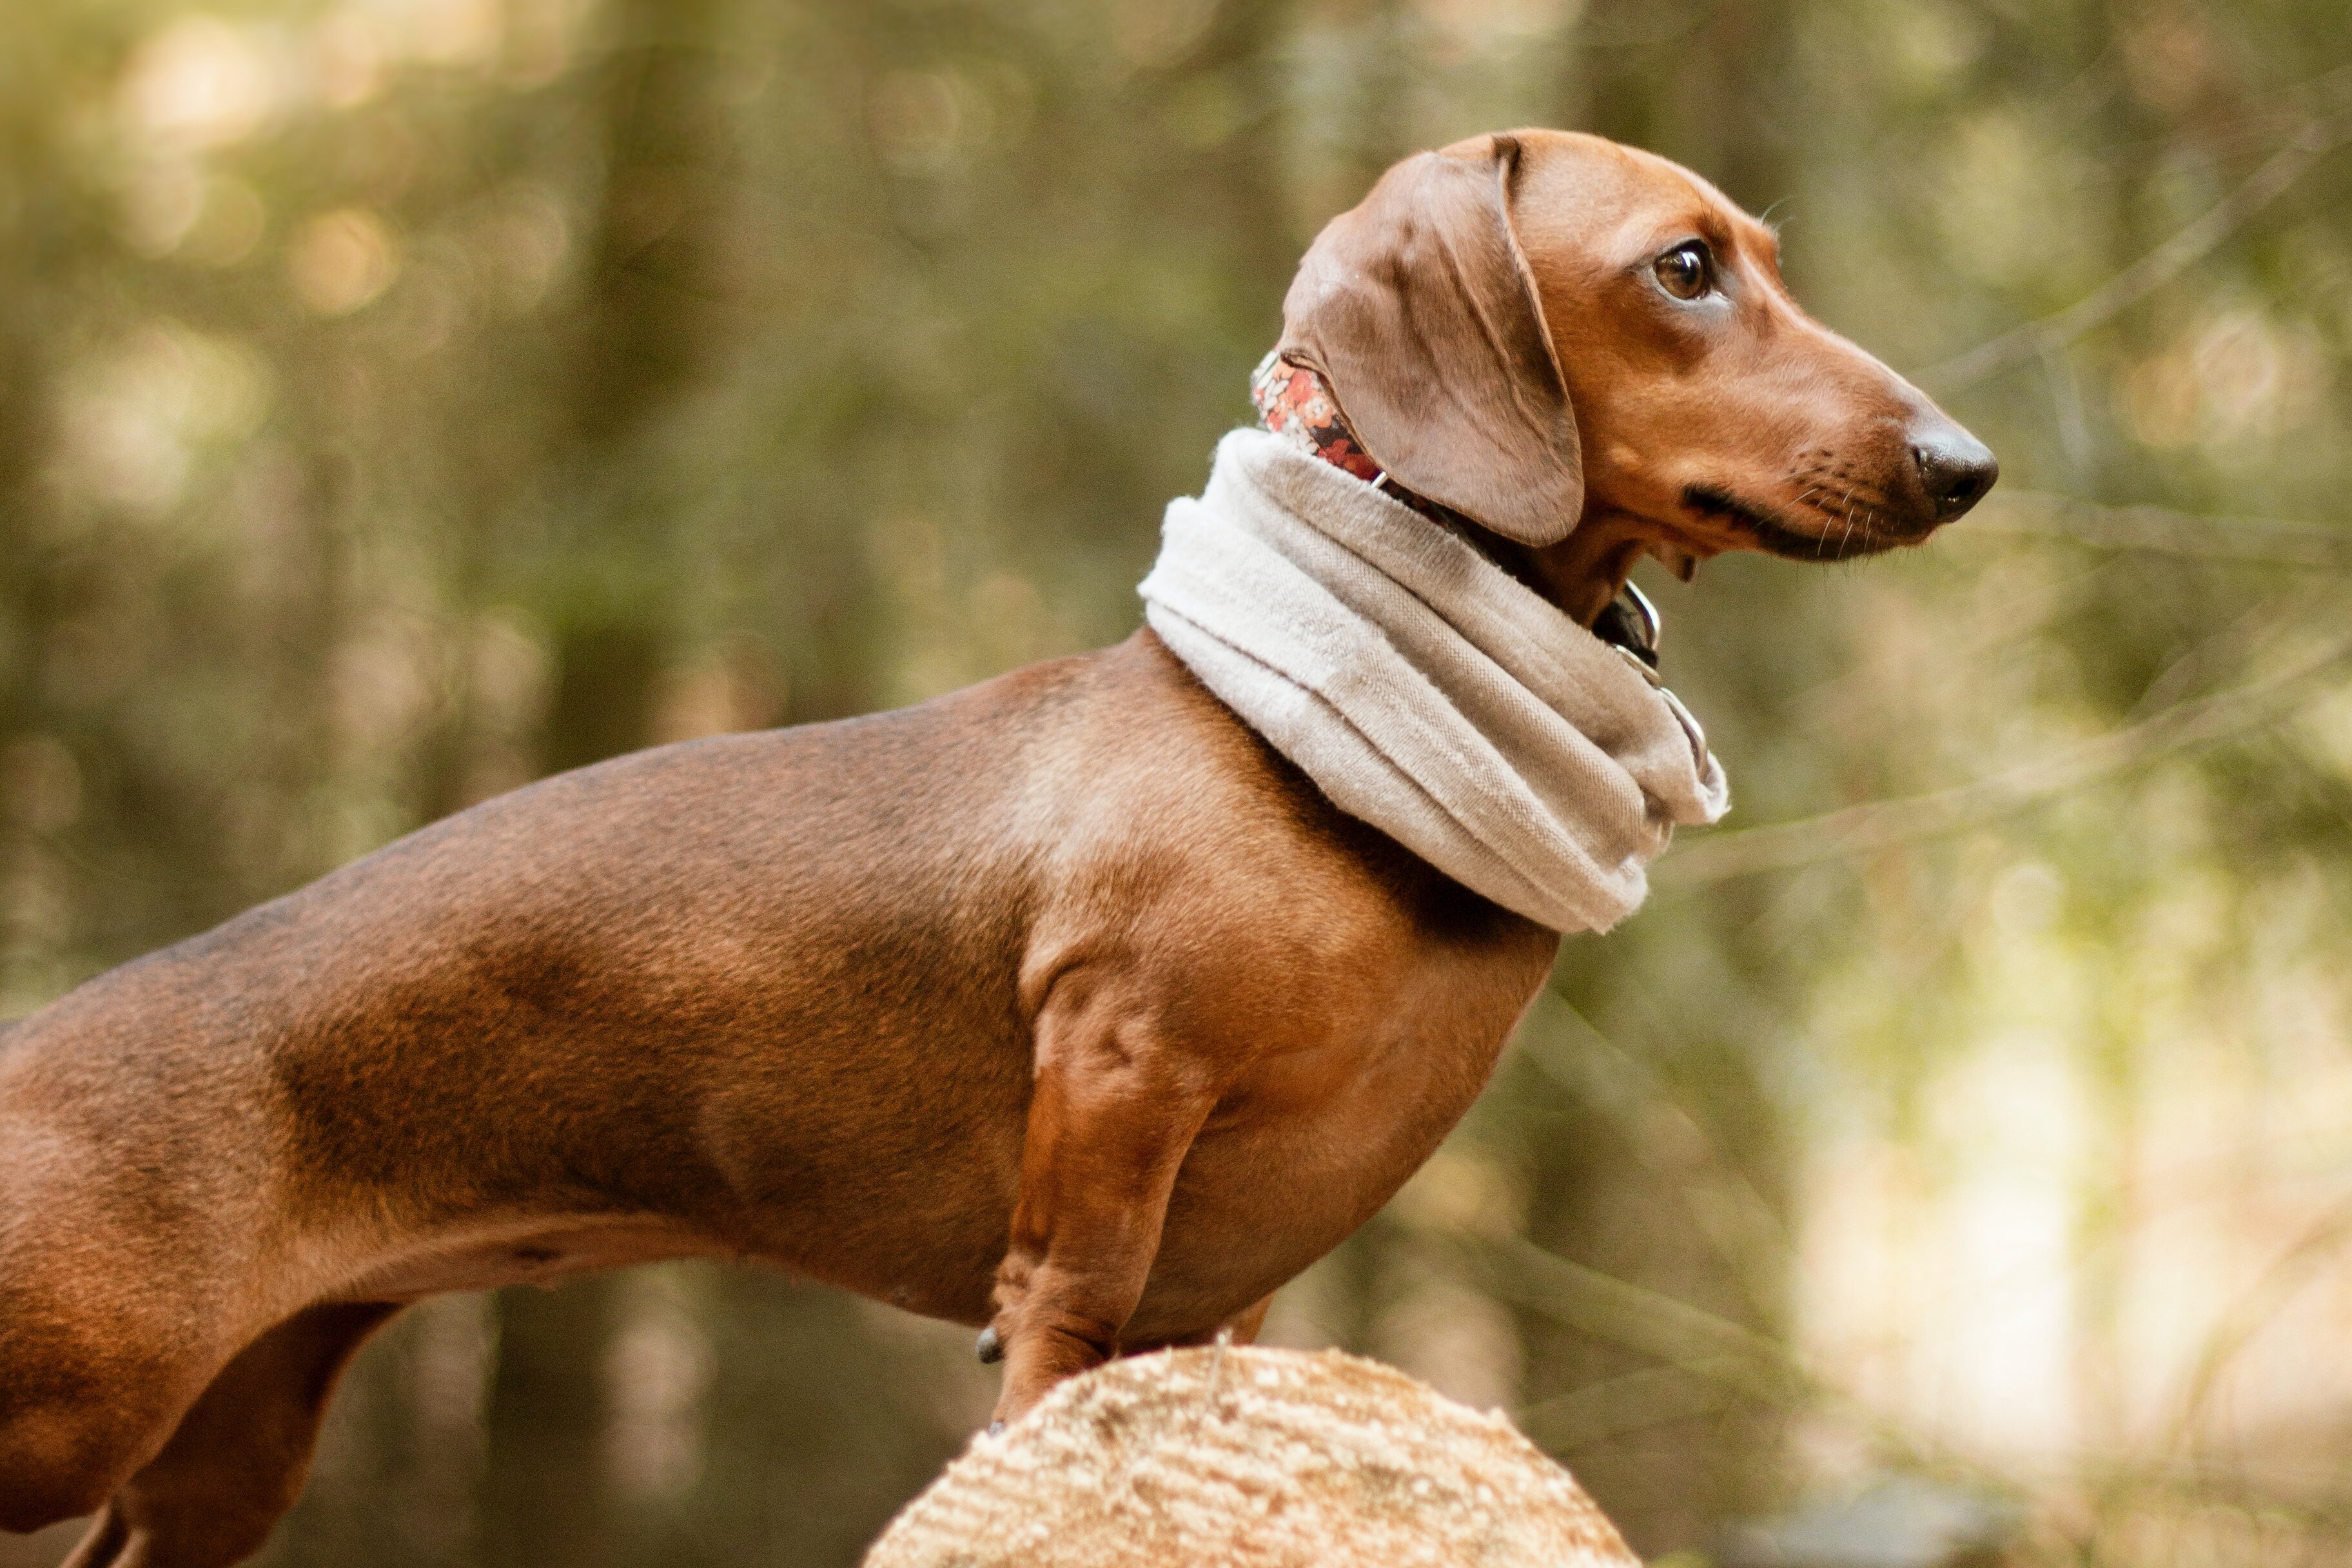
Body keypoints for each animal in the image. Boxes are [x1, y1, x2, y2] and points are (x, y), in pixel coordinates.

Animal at [0, 128, 1994, 1561]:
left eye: (1762, 256)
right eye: (1684, 268)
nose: (1967, 464)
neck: (1331, 737)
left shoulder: (1241, 1293)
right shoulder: (1117, 1086)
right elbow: (1061, 1331)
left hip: (218, 1465)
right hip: (67, 1423)